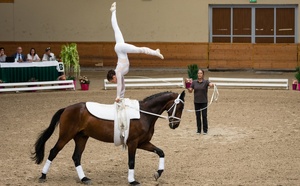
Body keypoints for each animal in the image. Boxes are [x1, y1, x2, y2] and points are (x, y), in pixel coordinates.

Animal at [31, 90, 185, 185]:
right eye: (180, 108)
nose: (175, 125)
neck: (143, 114)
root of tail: (67, 108)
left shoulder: (143, 142)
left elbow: (161, 152)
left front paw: (158, 173)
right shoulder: (133, 143)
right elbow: (131, 162)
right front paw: (132, 181)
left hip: (81, 138)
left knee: (76, 157)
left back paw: (84, 179)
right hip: (65, 136)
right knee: (53, 152)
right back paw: (43, 176)